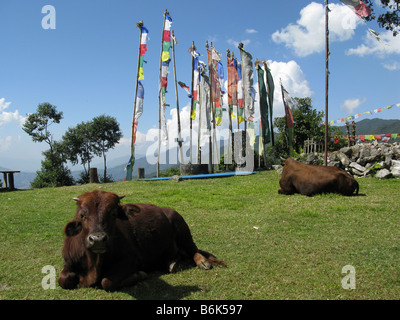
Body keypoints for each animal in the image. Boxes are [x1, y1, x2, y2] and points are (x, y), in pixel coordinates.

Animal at [57, 191, 227, 292]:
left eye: (113, 214)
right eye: (82, 216)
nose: (98, 239)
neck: (94, 264)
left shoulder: (132, 259)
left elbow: (107, 282)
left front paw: (138, 275)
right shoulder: (69, 261)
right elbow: (63, 280)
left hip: (183, 229)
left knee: (194, 250)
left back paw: (202, 262)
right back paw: (172, 263)